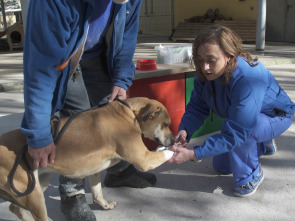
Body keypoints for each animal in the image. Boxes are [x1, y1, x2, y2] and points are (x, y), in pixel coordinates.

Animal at [0, 97, 175, 221]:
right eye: (166, 124)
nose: (173, 139)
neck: (129, 112)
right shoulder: (144, 158)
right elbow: (166, 153)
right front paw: (175, 150)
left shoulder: (94, 170)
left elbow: (97, 193)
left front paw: (104, 205)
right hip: (34, 197)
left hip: (37, 185)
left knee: (14, 208)